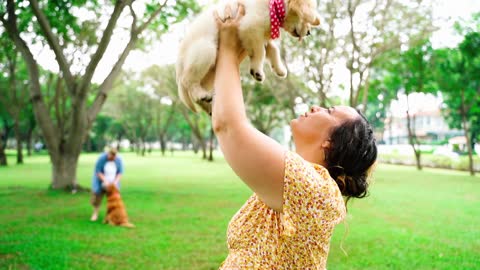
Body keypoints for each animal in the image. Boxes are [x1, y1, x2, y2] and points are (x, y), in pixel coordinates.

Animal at [175, 0, 318, 113]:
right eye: (306, 19)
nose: (309, 33)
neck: (273, 6)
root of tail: (178, 67)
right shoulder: (250, 27)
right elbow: (260, 52)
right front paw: (257, 70)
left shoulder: (260, 35)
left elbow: (273, 49)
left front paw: (279, 69)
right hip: (206, 50)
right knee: (187, 80)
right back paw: (200, 94)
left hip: (210, 72)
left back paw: (208, 106)